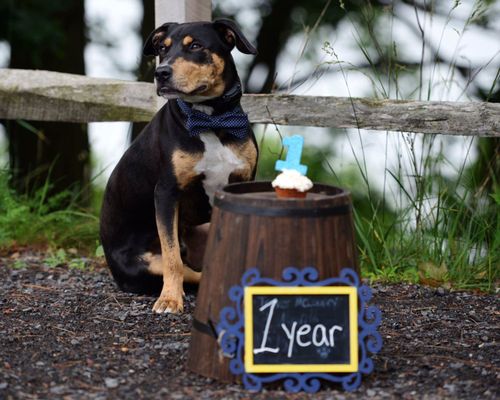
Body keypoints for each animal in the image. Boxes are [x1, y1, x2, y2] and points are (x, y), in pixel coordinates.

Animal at [100, 20, 260, 314]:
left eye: (195, 45)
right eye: (162, 49)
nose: (161, 73)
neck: (211, 120)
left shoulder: (242, 183)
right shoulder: (166, 192)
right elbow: (172, 258)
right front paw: (170, 300)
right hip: (146, 265)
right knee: (186, 269)